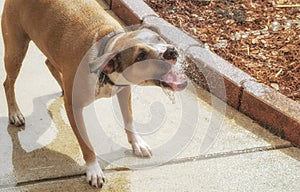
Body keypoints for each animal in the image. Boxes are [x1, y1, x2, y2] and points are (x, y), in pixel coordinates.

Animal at [1, 0, 188, 189]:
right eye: (141, 56)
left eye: (158, 38)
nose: (171, 51)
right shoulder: (75, 108)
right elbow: (86, 143)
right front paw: (93, 169)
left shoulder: (124, 90)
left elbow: (129, 119)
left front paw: (137, 143)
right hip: (16, 51)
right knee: (8, 83)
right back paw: (15, 113)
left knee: (50, 64)